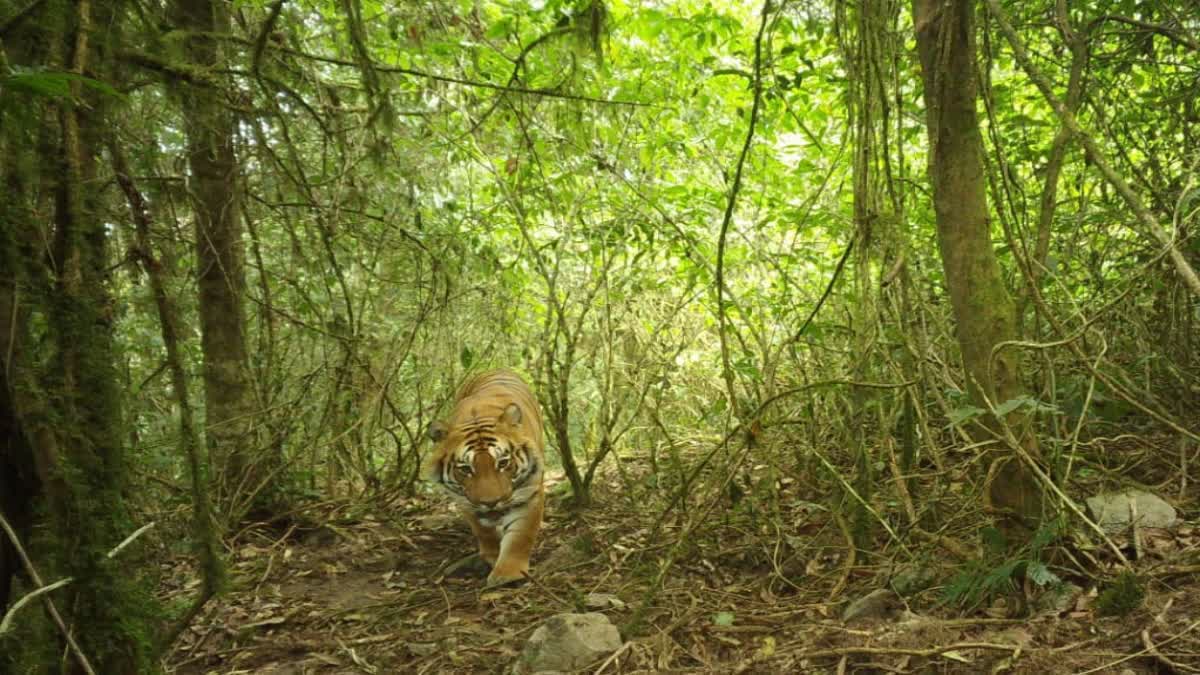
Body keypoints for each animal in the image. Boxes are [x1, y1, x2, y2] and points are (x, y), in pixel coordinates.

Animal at [424, 367, 547, 583]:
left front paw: (508, 574)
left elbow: (521, 534)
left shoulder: (530, 491)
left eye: (503, 463)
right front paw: (492, 556)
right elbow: (483, 531)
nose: (491, 502)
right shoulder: (464, 499)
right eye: (465, 469)